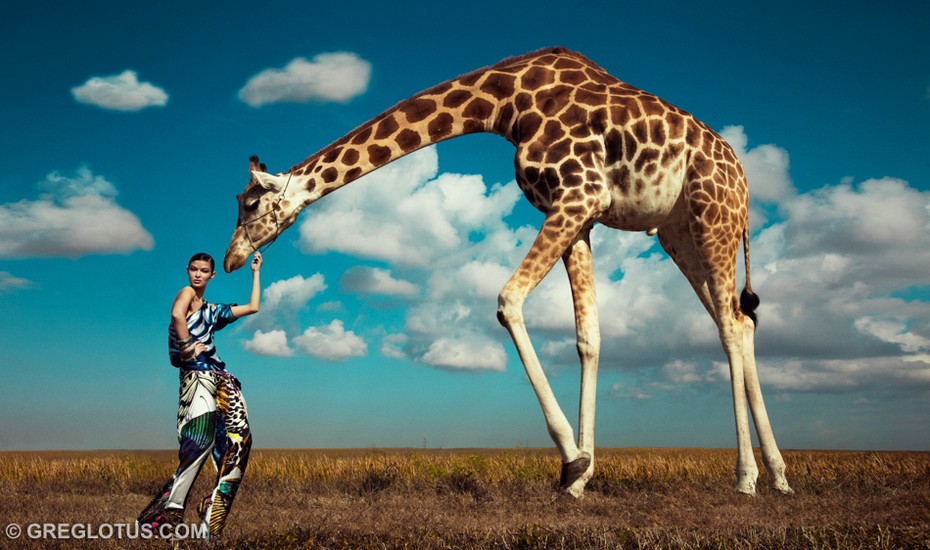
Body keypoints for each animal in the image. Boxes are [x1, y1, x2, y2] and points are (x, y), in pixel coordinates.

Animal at [224, 47, 793, 498]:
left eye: (250, 204)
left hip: (712, 217)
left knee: (728, 326)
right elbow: (589, 336)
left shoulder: (580, 195)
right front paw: (581, 476)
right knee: (740, 322)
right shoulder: (577, 212)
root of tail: (745, 182)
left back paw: (746, 478)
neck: (504, 104)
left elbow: (508, 300)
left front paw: (572, 460)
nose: (230, 258)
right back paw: (780, 474)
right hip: (678, 233)